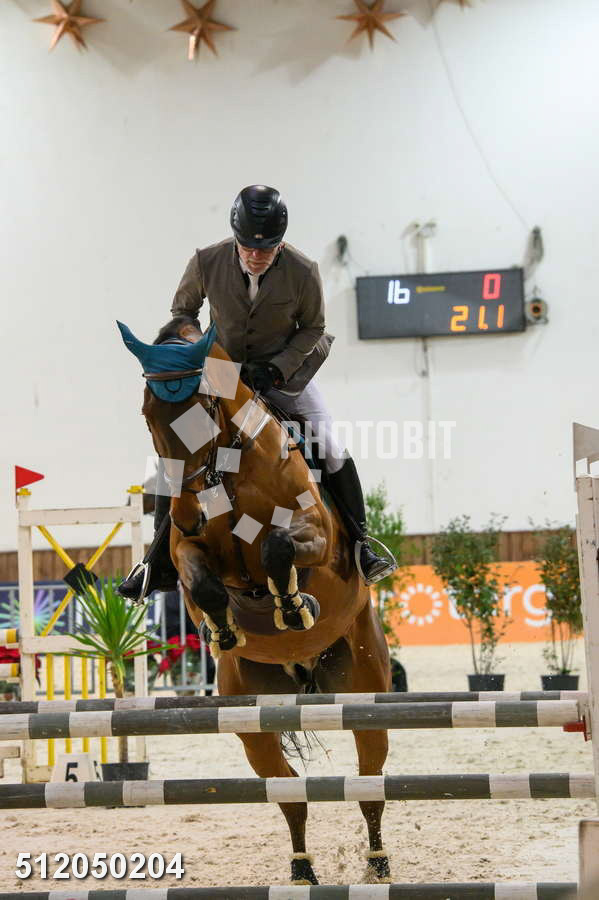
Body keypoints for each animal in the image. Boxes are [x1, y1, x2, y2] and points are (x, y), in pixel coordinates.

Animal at [119, 315, 392, 885]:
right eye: (147, 414)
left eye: (203, 407)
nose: (185, 514)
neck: (230, 470)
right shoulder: (187, 552)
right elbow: (202, 581)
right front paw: (225, 626)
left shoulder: (317, 536)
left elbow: (278, 547)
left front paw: (293, 606)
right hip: (253, 721)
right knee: (290, 795)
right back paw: (302, 869)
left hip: (363, 689)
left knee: (369, 782)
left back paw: (377, 862)